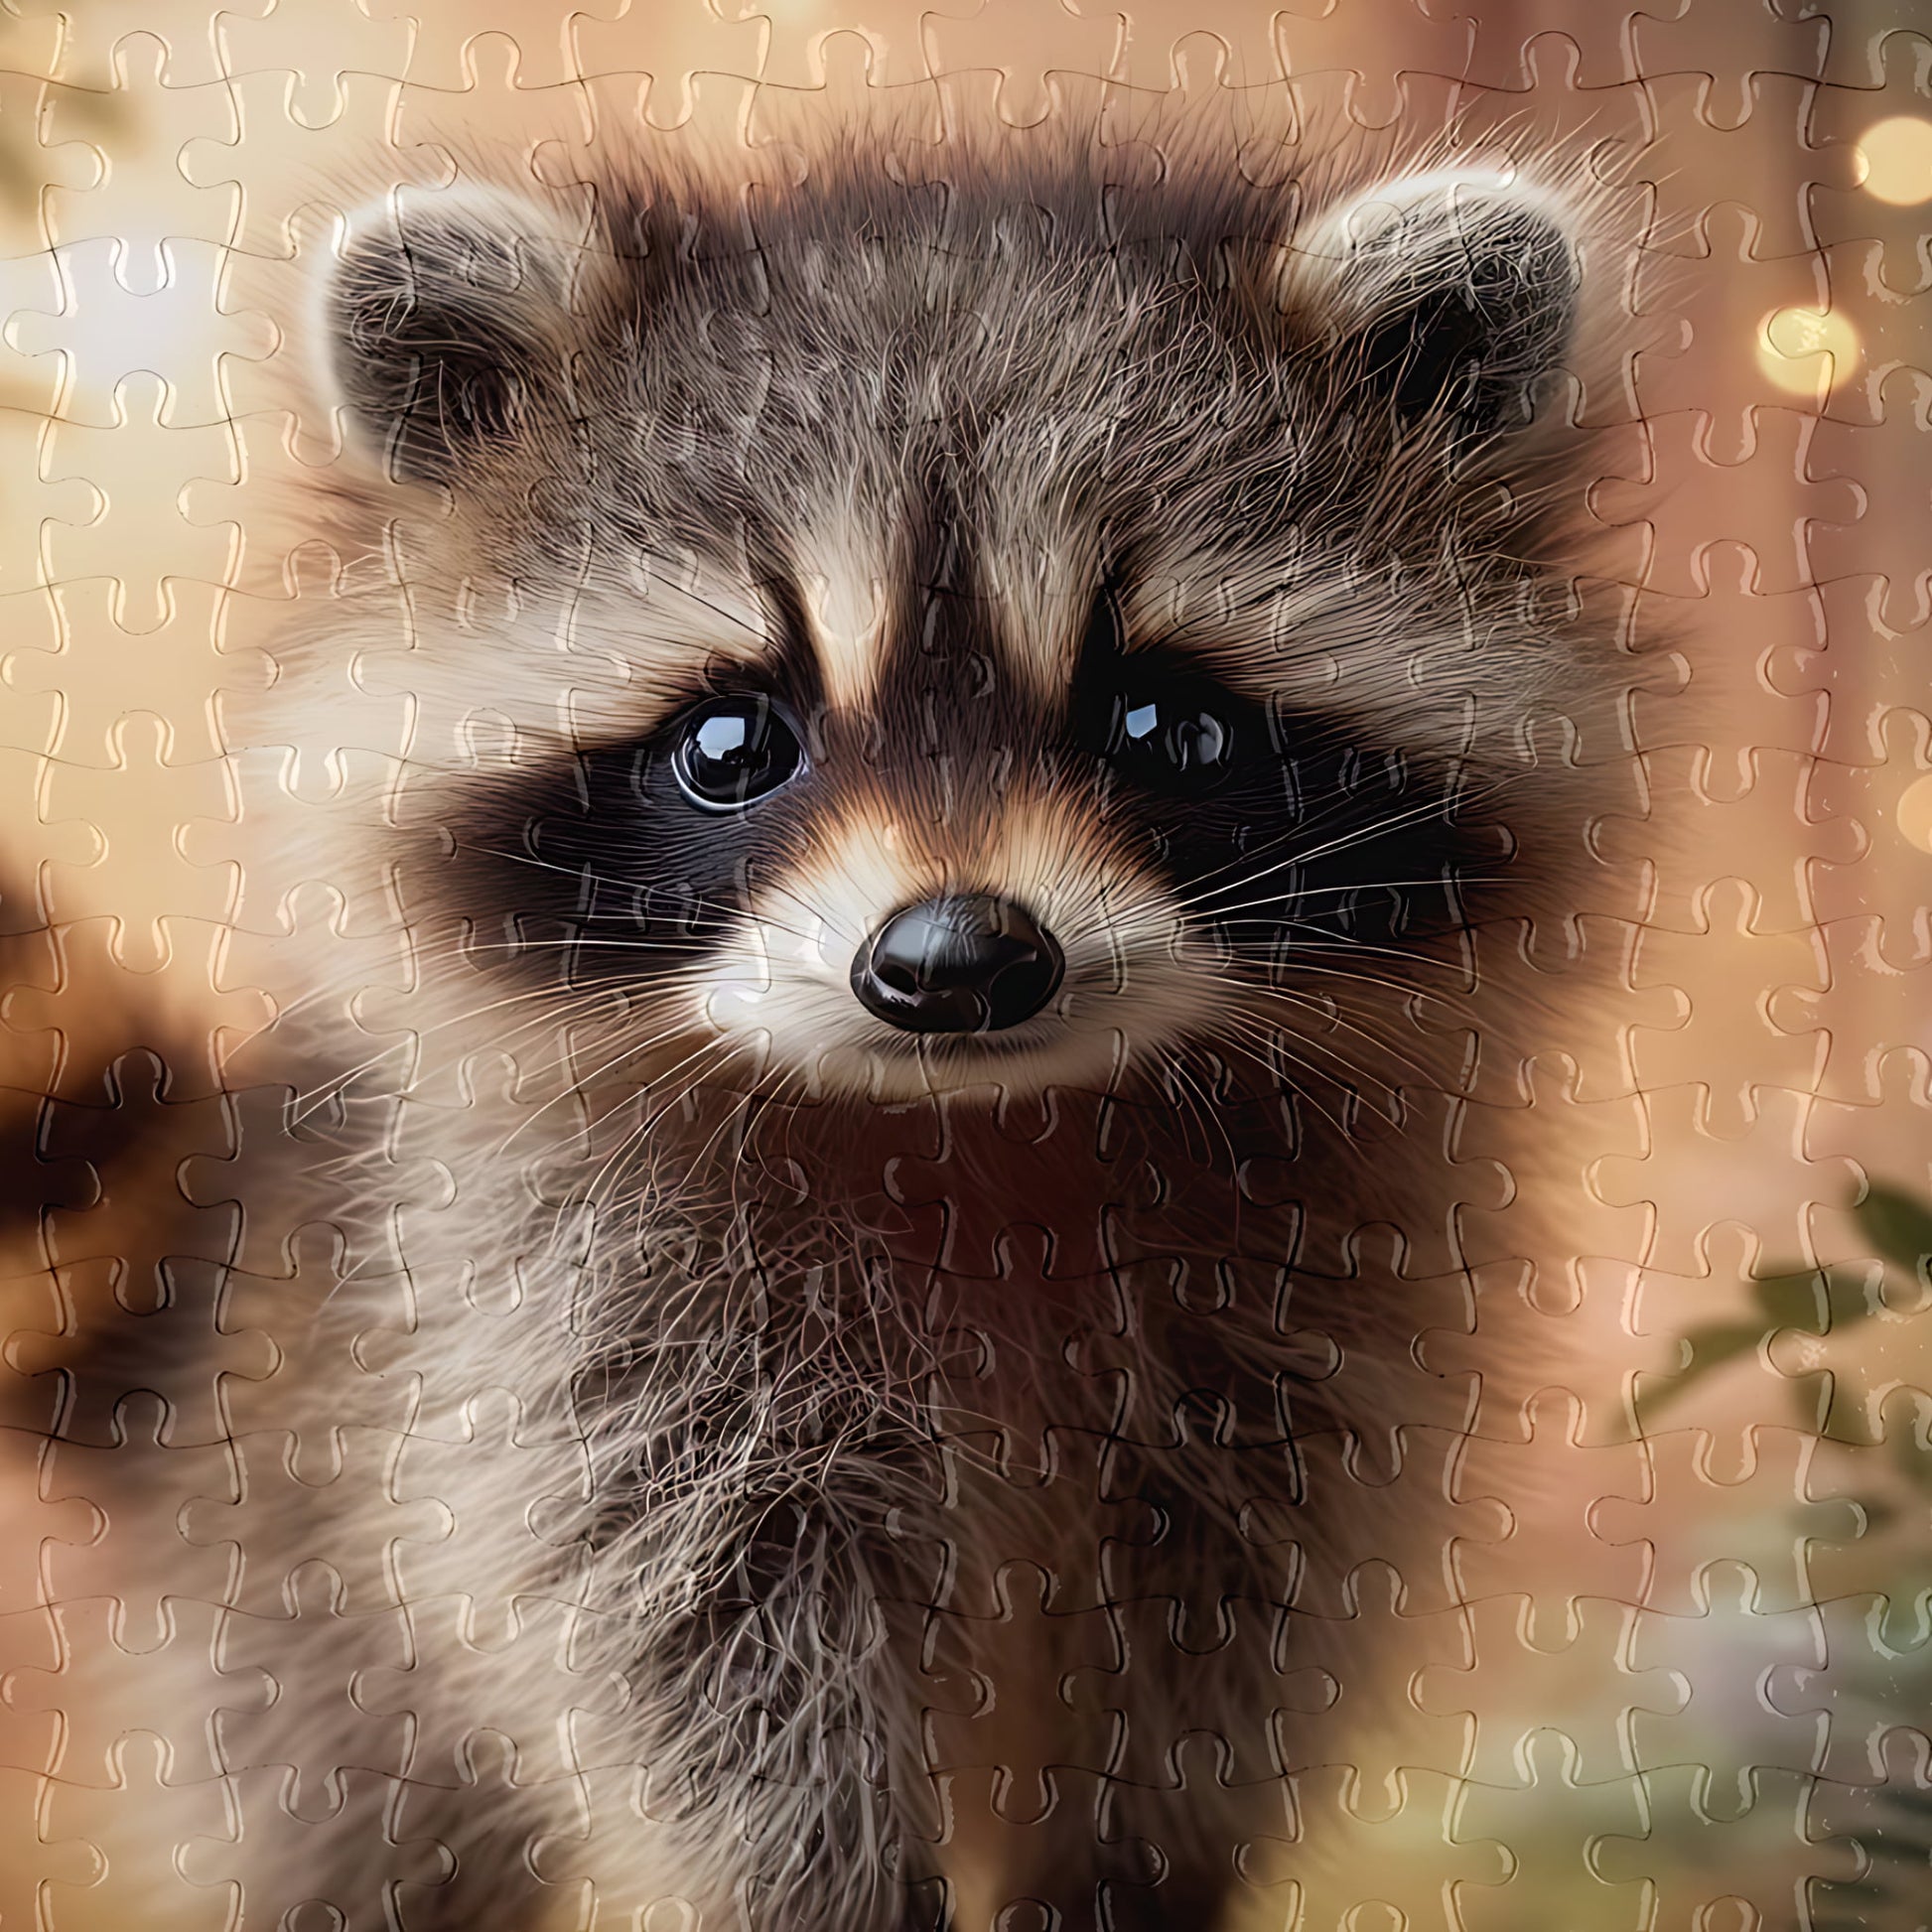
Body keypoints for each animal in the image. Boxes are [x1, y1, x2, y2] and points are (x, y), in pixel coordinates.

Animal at [211, 115, 1626, 1932]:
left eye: (1165, 726)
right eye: (730, 744)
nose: (954, 961)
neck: (980, 1124)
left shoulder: (1316, 1315)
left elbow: (1230, 1617)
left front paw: (1125, 1869)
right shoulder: (567, 1311)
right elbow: (682, 1622)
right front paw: (821, 1879)